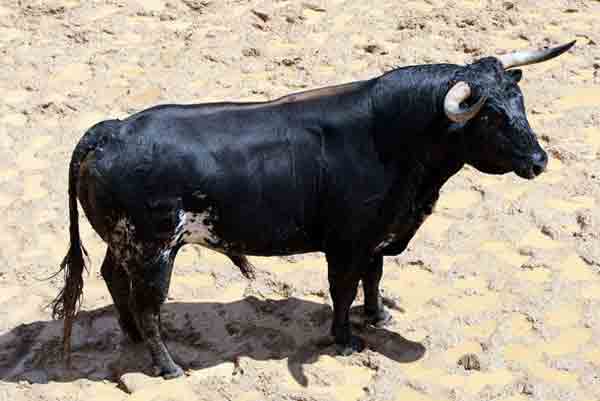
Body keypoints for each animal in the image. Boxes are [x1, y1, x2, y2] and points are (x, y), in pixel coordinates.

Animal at [52, 42, 576, 376]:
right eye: (491, 115)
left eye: (520, 101)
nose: (539, 160)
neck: (394, 138)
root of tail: (110, 130)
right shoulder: (346, 244)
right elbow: (343, 290)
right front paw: (346, 340)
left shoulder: (377, 237)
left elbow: (373, 278)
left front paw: (378, 316)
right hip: (154, 249)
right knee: (148, 303)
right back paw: (167, 365)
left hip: (126, 243)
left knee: (113, 278)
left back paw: (132, 338)